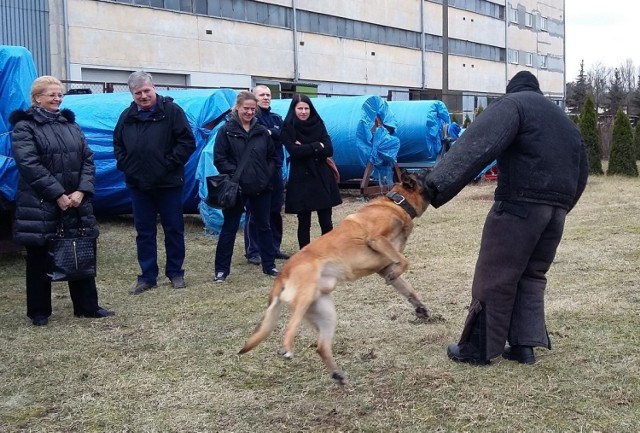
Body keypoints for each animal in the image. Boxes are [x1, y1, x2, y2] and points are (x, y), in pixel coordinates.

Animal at [239, 170, 430, 384]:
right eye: (426, 173)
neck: (397, 203)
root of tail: (281, 274)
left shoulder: (384, 265)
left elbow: (407, 287)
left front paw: (419, 307)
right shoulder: (377, 239)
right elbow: (405, 262)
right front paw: (397, 276)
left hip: (325, 313)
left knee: (321, 346)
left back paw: (337, 374)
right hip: (305, 296)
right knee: (290, 326)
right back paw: (287, 348)